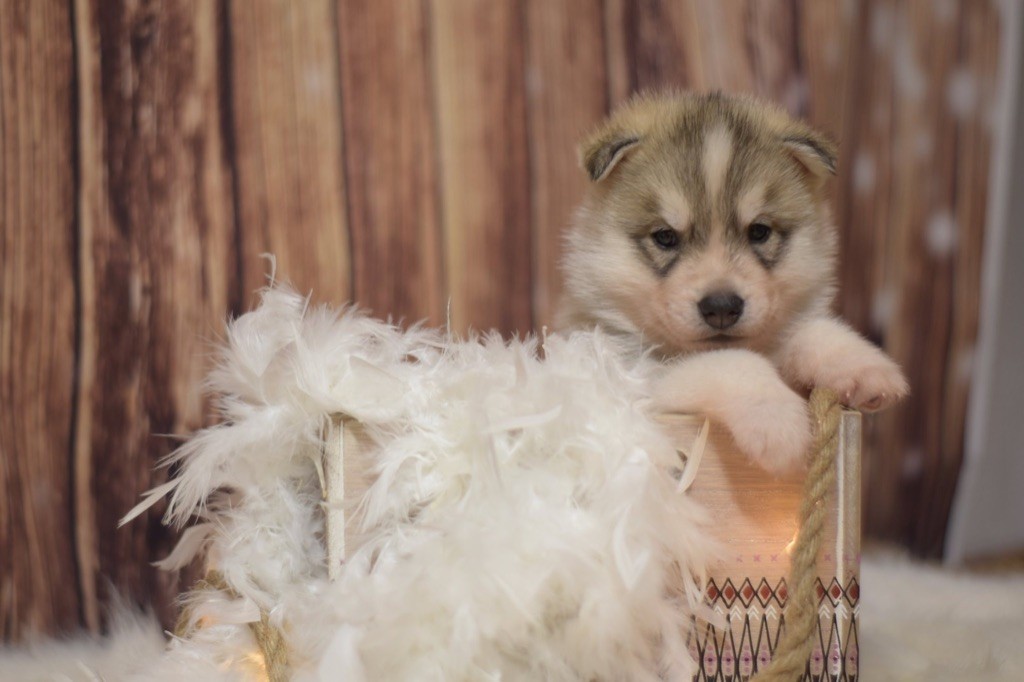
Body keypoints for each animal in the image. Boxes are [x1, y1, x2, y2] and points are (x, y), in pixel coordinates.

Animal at [558, 91, 908, 473]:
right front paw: (776, 418)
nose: (722, 307)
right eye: (665, 237)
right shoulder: (637, 378)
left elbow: (811, 331)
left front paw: (860, 362)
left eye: (759, 231)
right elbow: (731, 362)